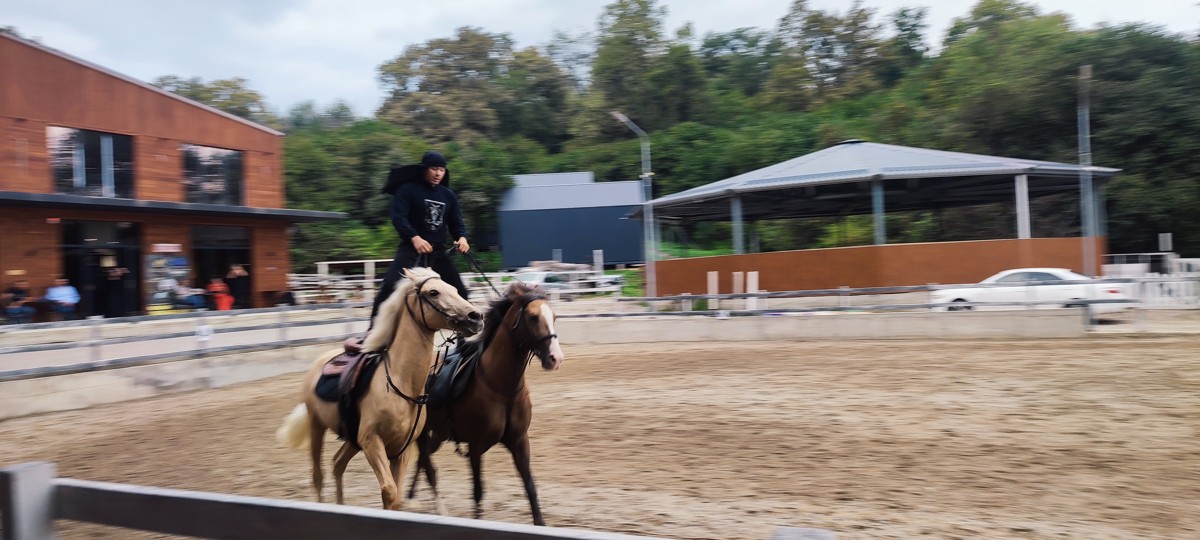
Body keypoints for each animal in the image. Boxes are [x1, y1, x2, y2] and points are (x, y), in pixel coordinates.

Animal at [278, 268, 484, 511]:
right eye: (433, 292)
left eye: (453, 288)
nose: (476, 316)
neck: (400, 384)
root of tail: (322, 361)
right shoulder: (372, 442)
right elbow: (389, 491)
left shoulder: (402, 448)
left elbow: (397, 497)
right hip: (317, 427)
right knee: (318, 475)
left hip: (352, 439)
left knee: (338, 463)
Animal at [408, 280, 566, 525]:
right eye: (532, 317)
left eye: (555, 317)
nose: (555, 358)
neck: (502, 390)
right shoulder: (476, 446)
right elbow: (478, 492)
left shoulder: (520, 441)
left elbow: (530, 488)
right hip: (422, 433)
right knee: (425, 462)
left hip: (439, 434)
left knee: (423, 461)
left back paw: (412, 496)